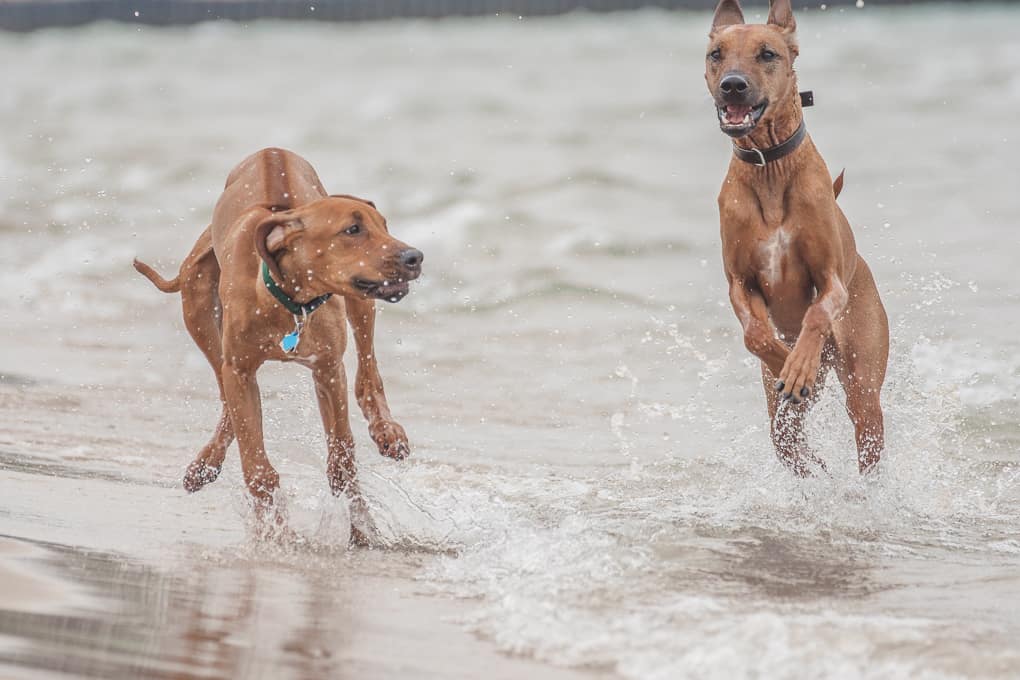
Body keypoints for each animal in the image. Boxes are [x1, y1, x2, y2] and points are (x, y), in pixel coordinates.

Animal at [135, 147, 422, 509]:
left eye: (384, 226)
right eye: (352, 229)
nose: (415, 256)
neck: (291, 302)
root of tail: (272, 151)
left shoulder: (328, 368)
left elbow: (342, 457)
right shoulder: (240, 370)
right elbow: (258, 467)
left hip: (361, 304)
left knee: (367, 375)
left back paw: (386, 429)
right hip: (196, 306)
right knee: (225, 394)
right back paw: (207, 461)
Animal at [705, 0, 889, 477]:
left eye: (767, 54)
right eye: (716, 55)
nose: (733, 86)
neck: (769, 166)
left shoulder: (830, 280)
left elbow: (818, 313)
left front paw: (801, 362)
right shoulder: (740, 282)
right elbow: (755, 333)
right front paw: (787, 364)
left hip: (864, 384)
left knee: (867, 427)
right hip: (781, 425)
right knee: (791, 443)